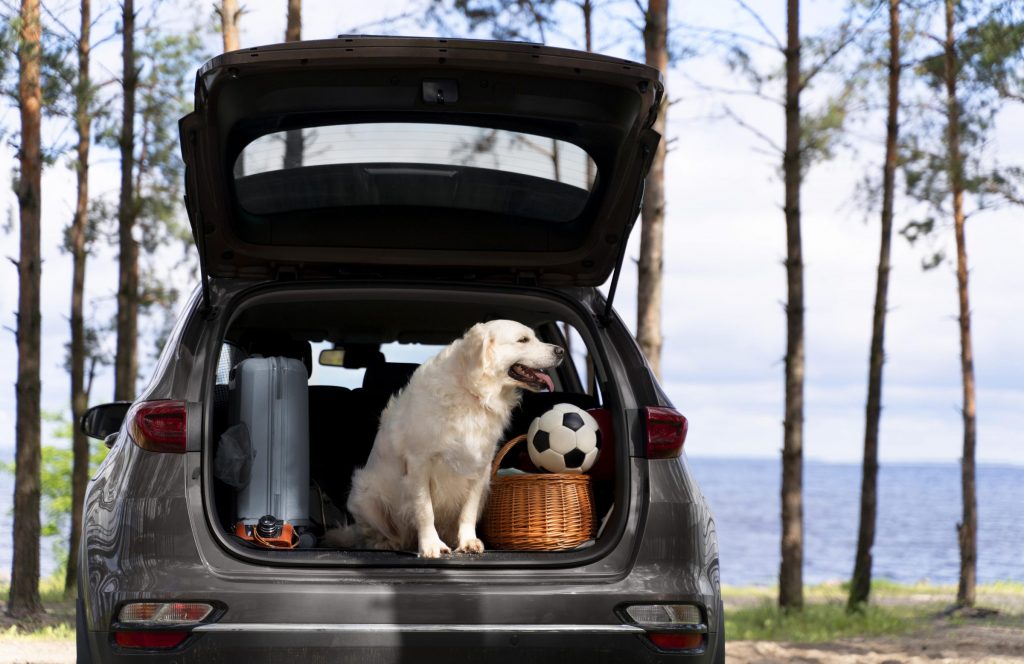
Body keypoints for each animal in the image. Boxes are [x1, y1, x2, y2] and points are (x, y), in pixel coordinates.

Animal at [327, 319, 565, 557]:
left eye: (535, 337)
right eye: (523, 340)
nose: (561, 351)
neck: (473, 391)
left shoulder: (480, 466)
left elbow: (468, 511)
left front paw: (468, 541)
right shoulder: (419, 463)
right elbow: (425, 510)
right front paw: (431, 545)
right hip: (364, 495)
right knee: (376, 535)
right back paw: (386, 543)